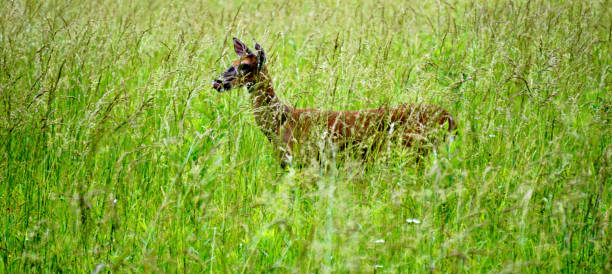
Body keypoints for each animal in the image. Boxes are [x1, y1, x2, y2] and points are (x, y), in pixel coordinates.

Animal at [213, 37, 456, 168]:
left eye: (245, 66)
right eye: (233, 61)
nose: (217, 81)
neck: (281, 122)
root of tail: (451, 119)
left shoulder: (305, 162)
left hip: (416, 152)